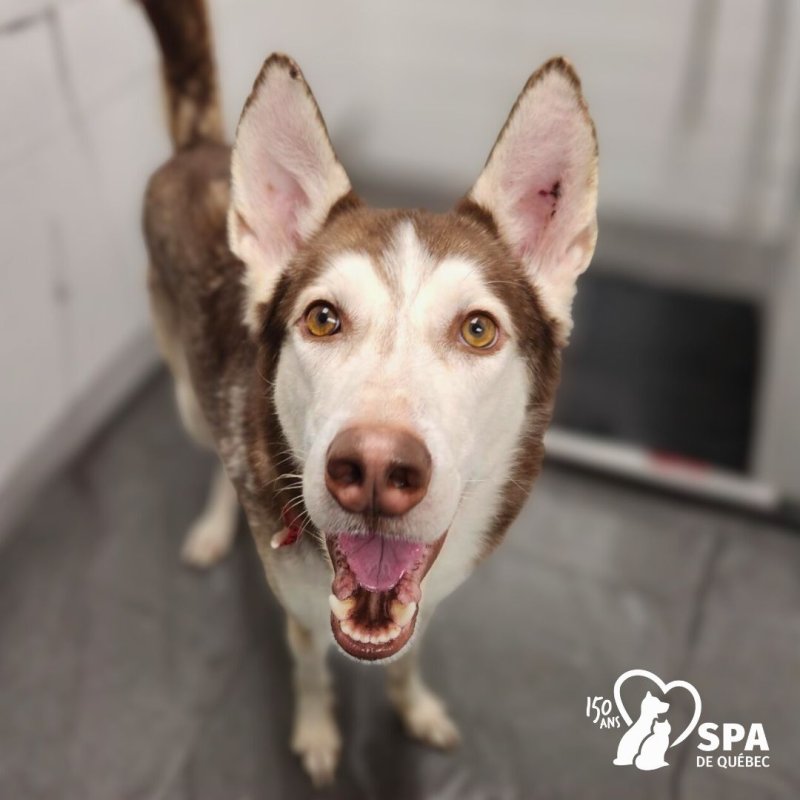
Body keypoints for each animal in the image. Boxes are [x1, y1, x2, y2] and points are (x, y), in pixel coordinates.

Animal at [139, 0, 598, 785]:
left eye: (478, 329)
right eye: (323, 318)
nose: (377, 469)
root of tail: (201, 148)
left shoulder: (429, 599)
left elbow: (407, 663)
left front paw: (414, 710)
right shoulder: (299, 613)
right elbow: (311, 673)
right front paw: (319, 733)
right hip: (188, 399)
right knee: (213, 448)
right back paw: (213, 527)